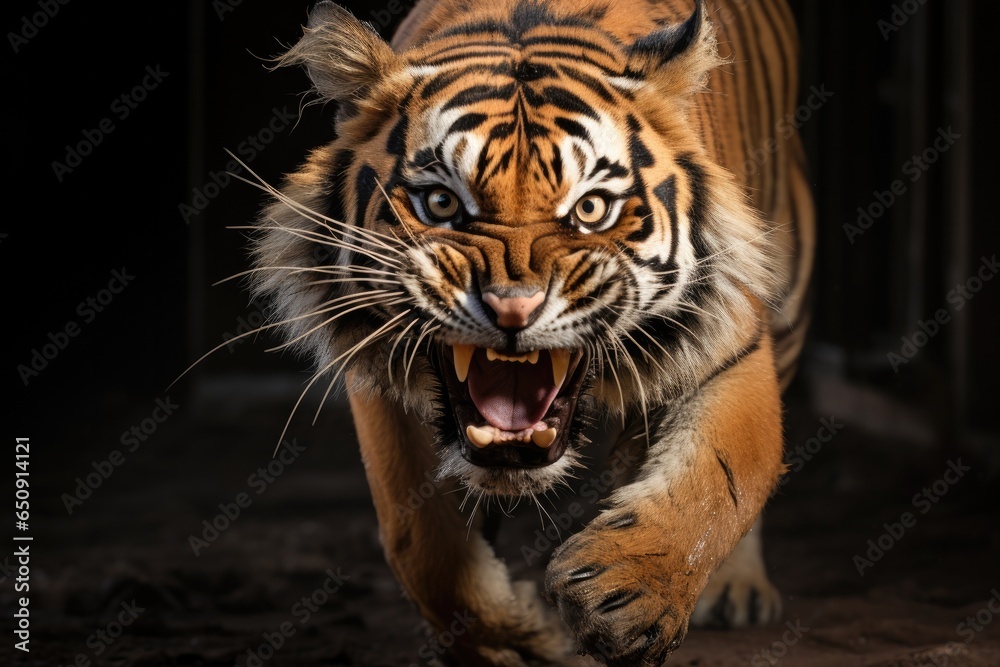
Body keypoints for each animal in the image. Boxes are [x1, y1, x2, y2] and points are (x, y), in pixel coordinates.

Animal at [251, 0, 814, 664]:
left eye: (591, 209)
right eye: (441, 203)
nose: (513, 310)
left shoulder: (731, 344)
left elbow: (722, 480)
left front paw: (628, 596)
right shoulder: (379, 381)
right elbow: (421, 541)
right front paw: (516, 639)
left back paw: (736, 590)